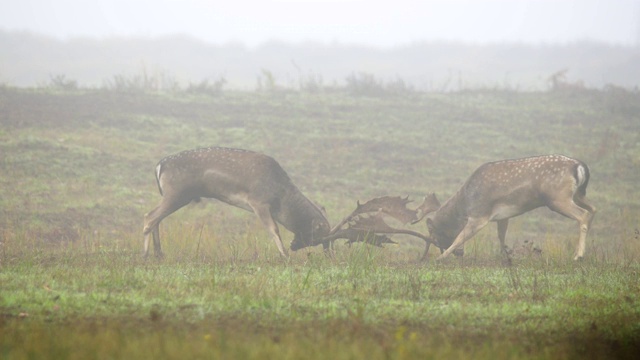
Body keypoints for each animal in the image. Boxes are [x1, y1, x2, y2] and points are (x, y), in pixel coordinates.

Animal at [141, 147, 330, 258]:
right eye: (317, 237)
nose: (329, 254)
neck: (280, 198)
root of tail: (159, 166)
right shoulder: (258, 201)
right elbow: (273, 229)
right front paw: (285, 256)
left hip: (175, 196)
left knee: (156, 217)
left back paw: (159, 253)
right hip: (176, 194)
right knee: (149, 216)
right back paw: (145, 254)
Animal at [412, 153, 596, 260]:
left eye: (435, 237)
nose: (459, 254)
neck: (465, 204)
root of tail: (581, 167)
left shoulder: (479, 214)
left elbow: (461, 236)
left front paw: (441, 258)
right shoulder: (503, 216)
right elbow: (501, 236)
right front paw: (507, 256)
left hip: (558, 198)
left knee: (583, 214)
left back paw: (578, 255)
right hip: (578, 194)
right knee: (593, 209)